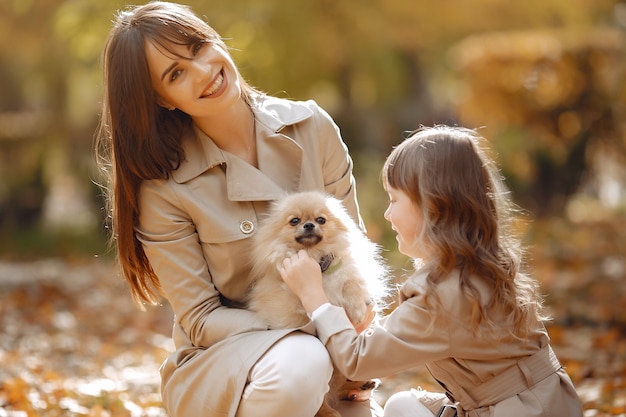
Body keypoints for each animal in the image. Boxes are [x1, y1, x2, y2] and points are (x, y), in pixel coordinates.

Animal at [247, 190, 388, 416]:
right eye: (294, 221)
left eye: (321, 220)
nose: (309, 225)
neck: (317, 262)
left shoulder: (347, 271)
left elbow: (351, 285)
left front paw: (357, 311)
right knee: (327, 390)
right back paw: (329, 410)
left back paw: (359, 385)